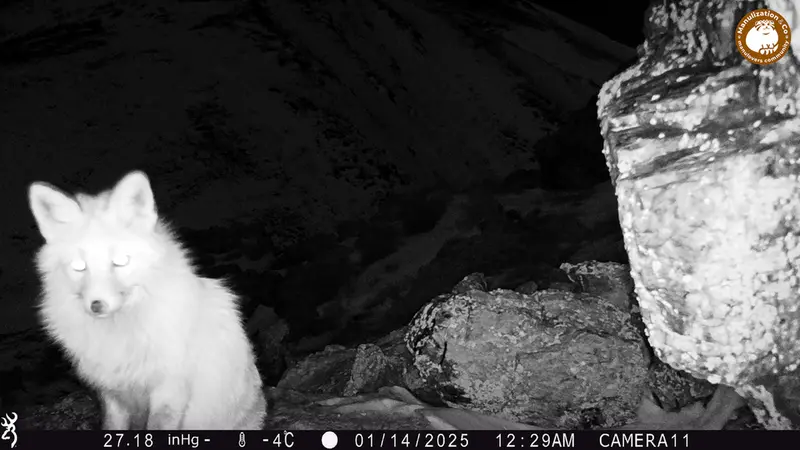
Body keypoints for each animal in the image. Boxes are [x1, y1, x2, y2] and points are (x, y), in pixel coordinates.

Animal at [27, 170, 266, 430]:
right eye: (80, 266)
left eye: (120, 261)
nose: (96, 306)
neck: (121, 336)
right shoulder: (112, 394)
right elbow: (113, 426)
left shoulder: (169, 391)